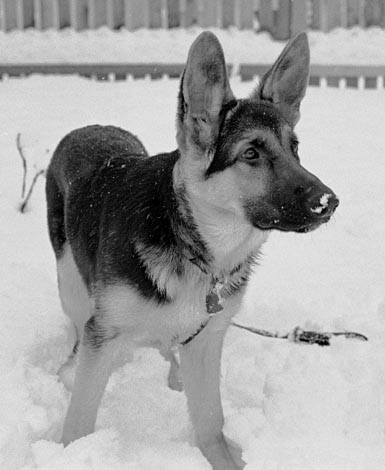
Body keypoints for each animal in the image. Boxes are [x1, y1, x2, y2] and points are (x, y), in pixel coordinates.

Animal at [46, 31, 338, 468]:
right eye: (251, 153)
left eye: (295, 148)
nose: (329, 202)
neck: (192, 245)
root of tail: (89, 127)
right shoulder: (103, 334)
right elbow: (79, 420)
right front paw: (69, 455)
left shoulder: (206, 339)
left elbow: (211, 420)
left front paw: (225, 459)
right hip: (72, 287)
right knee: (79, 332)